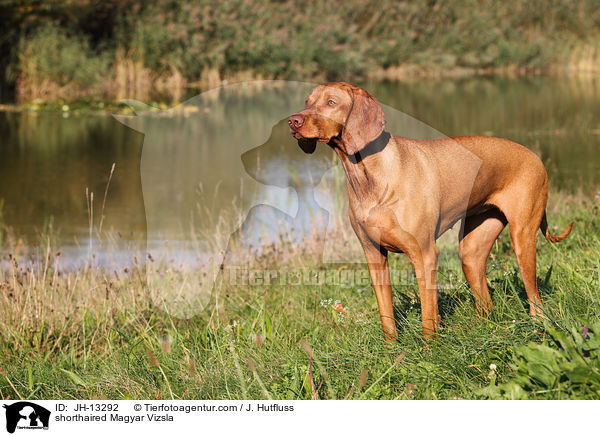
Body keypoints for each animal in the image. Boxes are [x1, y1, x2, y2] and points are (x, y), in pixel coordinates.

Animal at [288, 82, 576, 340]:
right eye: (307, 101)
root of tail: (535, 156)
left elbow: (428, 317)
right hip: (471, 251)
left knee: (535, 299)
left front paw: (427, 352)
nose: (292, 121)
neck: (369, 176)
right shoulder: (374, 256)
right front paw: (393, 354)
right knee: (486, 302)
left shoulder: (424, 254)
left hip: (522, 239)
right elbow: (387, 317)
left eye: (331, 102)